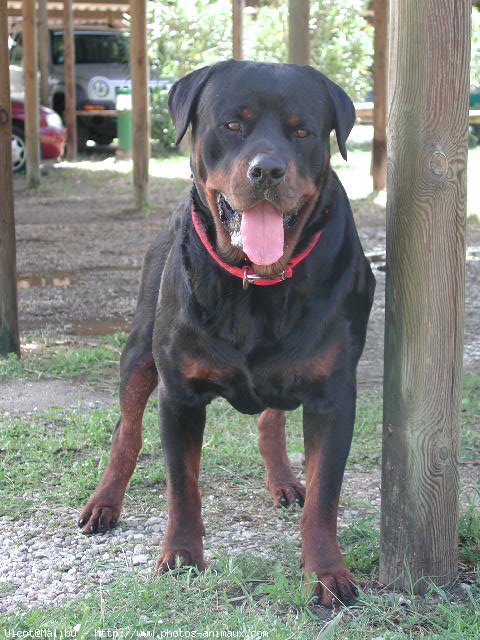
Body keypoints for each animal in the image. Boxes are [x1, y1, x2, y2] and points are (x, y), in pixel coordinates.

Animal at [78, 62, 376, 608]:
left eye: (302, 132)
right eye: (233, 125)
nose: (267, 170)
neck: (256, 284)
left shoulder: (332, 396)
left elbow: (324, 496)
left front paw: (326, 572)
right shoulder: (179, 395)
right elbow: (182, 484)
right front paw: (180, 555)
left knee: (270, 422)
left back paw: (284, 482)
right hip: (139, 350)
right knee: (126, 431)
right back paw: (104, 503)